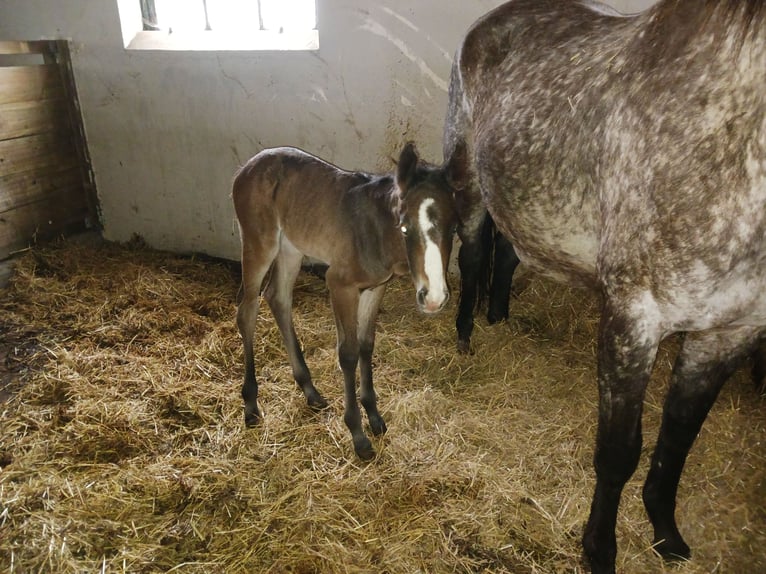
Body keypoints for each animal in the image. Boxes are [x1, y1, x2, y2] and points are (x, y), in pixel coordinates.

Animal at [444, 0, 766, 572]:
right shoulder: (633, 321)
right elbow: (618, 453)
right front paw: (600, 549)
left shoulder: (731, 333)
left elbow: (678, 436)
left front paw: (666, 531)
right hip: (469, 179)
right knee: (475, 252)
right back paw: (465, 334)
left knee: (507, 254)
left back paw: (498, 316)